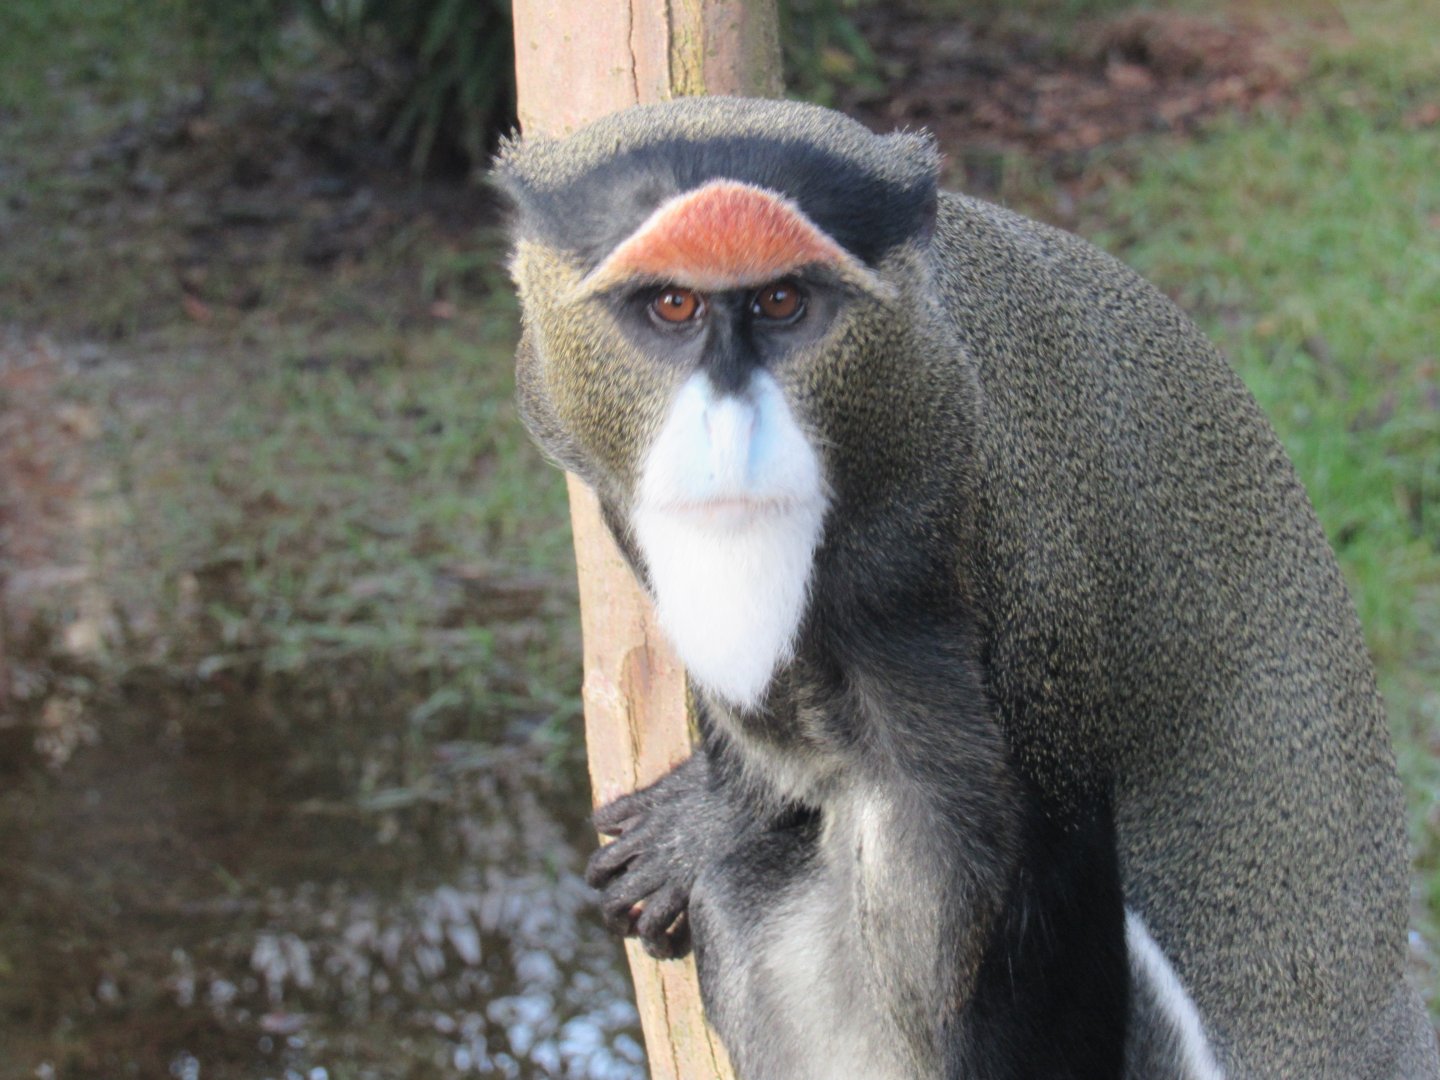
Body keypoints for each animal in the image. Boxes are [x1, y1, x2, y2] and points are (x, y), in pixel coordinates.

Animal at [494, 97, 1440, 1078]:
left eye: (783, 300)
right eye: (673, 303)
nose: (730, 433)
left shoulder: (1011, 596)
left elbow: (1034, 899)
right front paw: (715, 813)